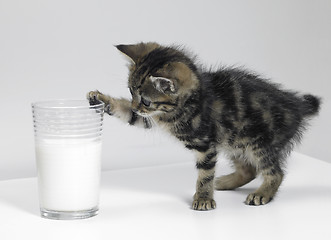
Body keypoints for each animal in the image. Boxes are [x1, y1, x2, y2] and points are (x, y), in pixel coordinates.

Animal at [88, 42, 322, 211]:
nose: (137, 107)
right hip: (233, 141)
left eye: (145, 100)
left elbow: (205, 174)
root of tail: (297, 106)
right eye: (131, 93)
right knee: (249, 169)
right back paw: (225, 183)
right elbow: (128, 115)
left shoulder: (206, 145)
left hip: (259, 142)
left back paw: (262, 193)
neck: (185, 105)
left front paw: (203, 198)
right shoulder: (150, 119)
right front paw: (100, 98)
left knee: (275, 172)